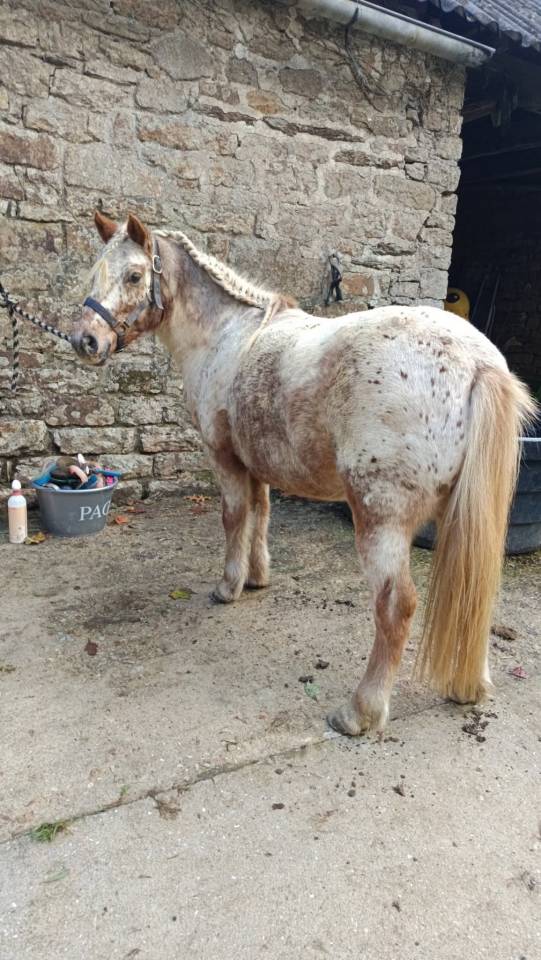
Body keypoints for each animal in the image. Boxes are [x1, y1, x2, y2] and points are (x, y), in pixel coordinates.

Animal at [72, 211, 536, 736]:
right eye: (95, 272)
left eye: (133, 276)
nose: (85, 340)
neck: (227, 335)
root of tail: (476, 364)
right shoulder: (258, 463)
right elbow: (261, 515)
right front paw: (257, 578)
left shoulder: (225, 460)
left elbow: (234, 519)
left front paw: (228, 587)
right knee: (476, 593)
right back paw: (470, 685)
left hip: (381, 520)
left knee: (396, 606)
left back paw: (360, 712)